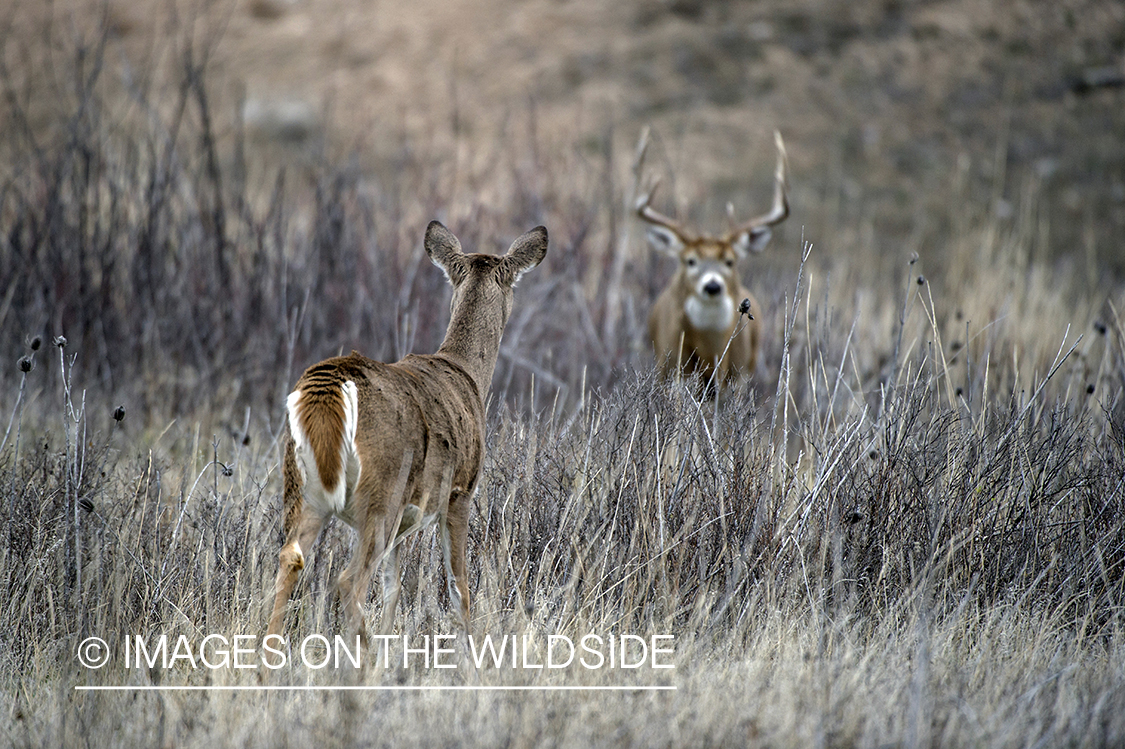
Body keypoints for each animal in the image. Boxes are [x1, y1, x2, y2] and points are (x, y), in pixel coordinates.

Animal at [263, 217, 544, 643]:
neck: (467, 374)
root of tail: (328, 389)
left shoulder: (407, 523)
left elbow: (394, 588)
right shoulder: (459, 491)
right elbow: (459, 585)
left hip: (301, 485)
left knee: (290, 560)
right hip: (384, 489)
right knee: (349, 581)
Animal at [639, 130, 787, 391]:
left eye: (729, 261)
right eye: (690, 260)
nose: (712, 285)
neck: (710, 354)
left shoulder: (739, 378)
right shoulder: (672, 371)